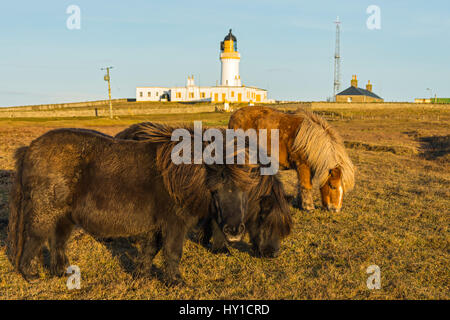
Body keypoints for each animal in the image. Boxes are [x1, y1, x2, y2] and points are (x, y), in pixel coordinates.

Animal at [7, 126, 255, 284]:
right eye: (219, 185)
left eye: (246, 188)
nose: (235, 231)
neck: (179, 178)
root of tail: (29, 149)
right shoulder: (174, 225)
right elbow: (172, 252)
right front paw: (176, 281)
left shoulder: (157, 225)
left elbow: (151, 250)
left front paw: (141, 275)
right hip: (45, 213)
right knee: (34, 238)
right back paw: (30, 275)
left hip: (64, 218)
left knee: (57, 242)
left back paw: (62, 273)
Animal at [114, 122, 294, 258]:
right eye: (265, 220)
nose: (272, 254)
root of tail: (122, 134)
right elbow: (217, 222)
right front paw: (220, 248)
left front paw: (205, 239)